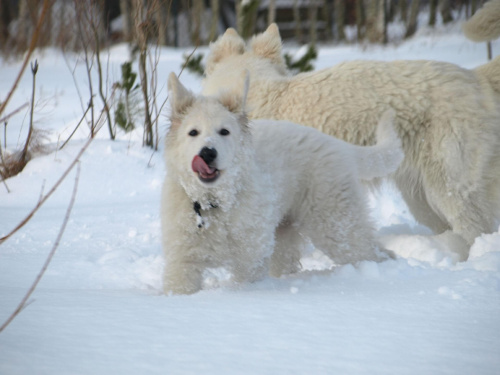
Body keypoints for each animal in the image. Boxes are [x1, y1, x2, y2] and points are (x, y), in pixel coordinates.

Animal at [162, 73, 404, 296]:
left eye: (224, 131)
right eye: (193, 132)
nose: (207, 153)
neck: (214, 204)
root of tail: (340, 146)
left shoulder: (250, 258)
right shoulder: (183, 263)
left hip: (336, 224)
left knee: (374, 252)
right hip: (286, 235)